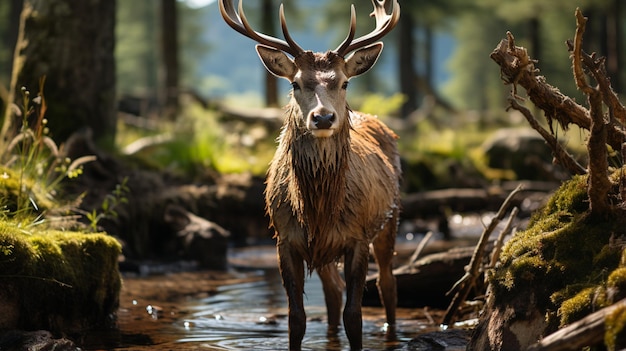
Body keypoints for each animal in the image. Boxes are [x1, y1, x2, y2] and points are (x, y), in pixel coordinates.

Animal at [217, 1, 398, 350]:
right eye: (295, 83)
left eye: (344, 82)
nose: (323, 117)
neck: (317, 210)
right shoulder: (285, 238)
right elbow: (296, 319)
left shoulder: (357, 237)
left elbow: (354, 317)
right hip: (325, 251)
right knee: (333, 292)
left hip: (390, 218)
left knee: (387, 284)